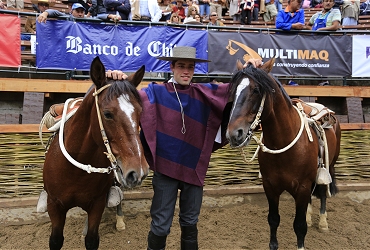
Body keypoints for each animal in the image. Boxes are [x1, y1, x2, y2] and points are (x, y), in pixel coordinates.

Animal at [42, 57, 149, 250]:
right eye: (107, 114)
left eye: (140, 112)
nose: (138, 171)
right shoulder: (54, 205)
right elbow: (55, 240)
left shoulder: (97, 204)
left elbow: (91, 239)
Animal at [225, 59, 342, 250]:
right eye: (234, 91)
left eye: (256, 90)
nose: (234, 134)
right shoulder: (270, 187)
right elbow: (273, 220)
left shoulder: (302, 187)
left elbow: (299, 226)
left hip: (328, 165)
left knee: (323, 191)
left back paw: (323, 223)